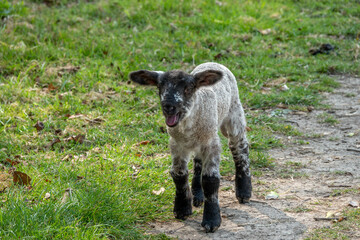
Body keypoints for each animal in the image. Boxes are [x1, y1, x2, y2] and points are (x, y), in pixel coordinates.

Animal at [131, 62, 252, 232]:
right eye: (160, 87)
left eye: (188, 88)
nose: (168, 106)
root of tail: (212, 62)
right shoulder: (177, 144)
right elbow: (179, 174)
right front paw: (182, 209)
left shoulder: (212, 143)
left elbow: (210, 180)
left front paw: (212, 220)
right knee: (198, 160)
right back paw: (198, 195)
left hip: (234, 113)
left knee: (240, 148)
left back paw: (244, 192)